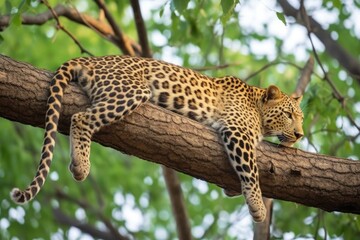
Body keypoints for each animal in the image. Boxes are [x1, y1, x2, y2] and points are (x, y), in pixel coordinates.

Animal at [10, 55, 304, 222]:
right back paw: (81, 165)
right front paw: (258, 206)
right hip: (132, 90)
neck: (258, 105)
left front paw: (235, 191)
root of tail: (92, 60)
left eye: (300, 117)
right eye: (289, 114)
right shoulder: (237, 131)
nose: (300, 134)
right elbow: (251, 171)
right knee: (81, 118)